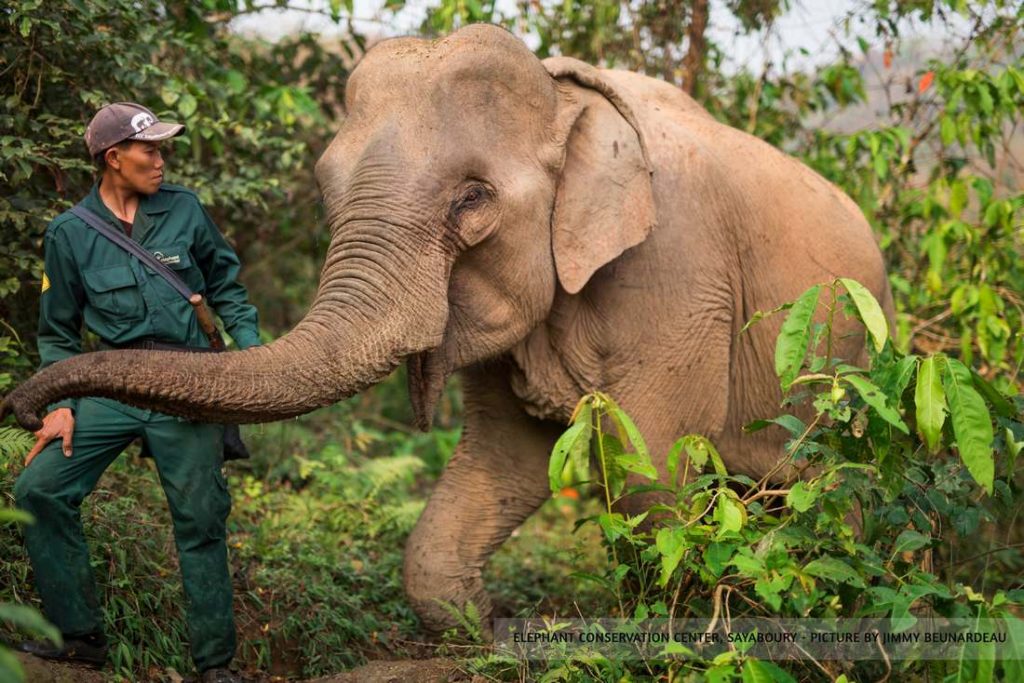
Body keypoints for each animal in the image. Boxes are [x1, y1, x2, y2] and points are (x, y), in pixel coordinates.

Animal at [4, 24, 891, 633]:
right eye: (325, 186)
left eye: (471, 199)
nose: (23, 406)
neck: (566, 99)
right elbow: (506, 458)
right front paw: (485, 625)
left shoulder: (680, 271)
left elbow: (652, 465)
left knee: (834, 488)